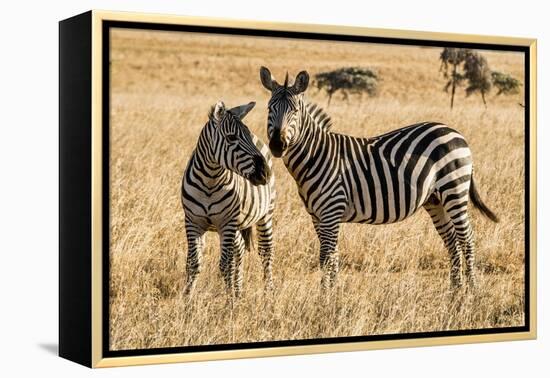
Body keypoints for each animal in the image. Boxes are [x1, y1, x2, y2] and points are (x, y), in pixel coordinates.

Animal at [181, 101, 276, 298]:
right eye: (231, 138)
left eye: (246, 134)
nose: (265, 173)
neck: (209, 180)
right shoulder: (193, 222)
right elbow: (193, 264)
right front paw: (186, 300)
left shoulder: (227, 223)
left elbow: (225, 266)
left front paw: (229, 303)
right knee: (239, 251)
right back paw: (238, 292)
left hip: (265, 214)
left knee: (266, 252)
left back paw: (268, 295)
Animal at [260, 67, 500, 292]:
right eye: (269, 108)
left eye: (295, 111)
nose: (277, 145)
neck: (316, 156)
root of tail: (456, 132)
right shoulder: (318, 216)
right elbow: (332, 257)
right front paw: (331, 292)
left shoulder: (331, 212)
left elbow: (326, 257)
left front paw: (325, 295)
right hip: (435, 200)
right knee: (451, 241)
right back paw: (455, 290)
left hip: (454, 190)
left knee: (467, 238)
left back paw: (472, 290)